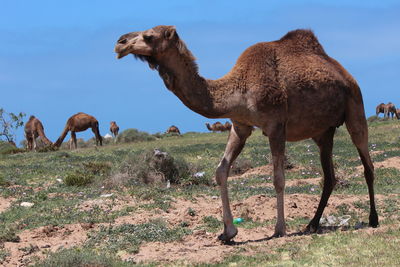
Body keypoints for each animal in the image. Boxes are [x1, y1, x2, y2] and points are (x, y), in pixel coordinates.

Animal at [115, 25, 378, 243]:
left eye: (149, 36)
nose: (120, 42)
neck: (238, 89)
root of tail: (345, 73)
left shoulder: (276, 126)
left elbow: (278, 178)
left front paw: (279, 229)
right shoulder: (239, 126)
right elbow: (221, 171)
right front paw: (228, 232)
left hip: (355, 106)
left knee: (367, 164)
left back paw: (373, 219)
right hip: (323, 132)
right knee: (329, 176)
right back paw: (312, 224)